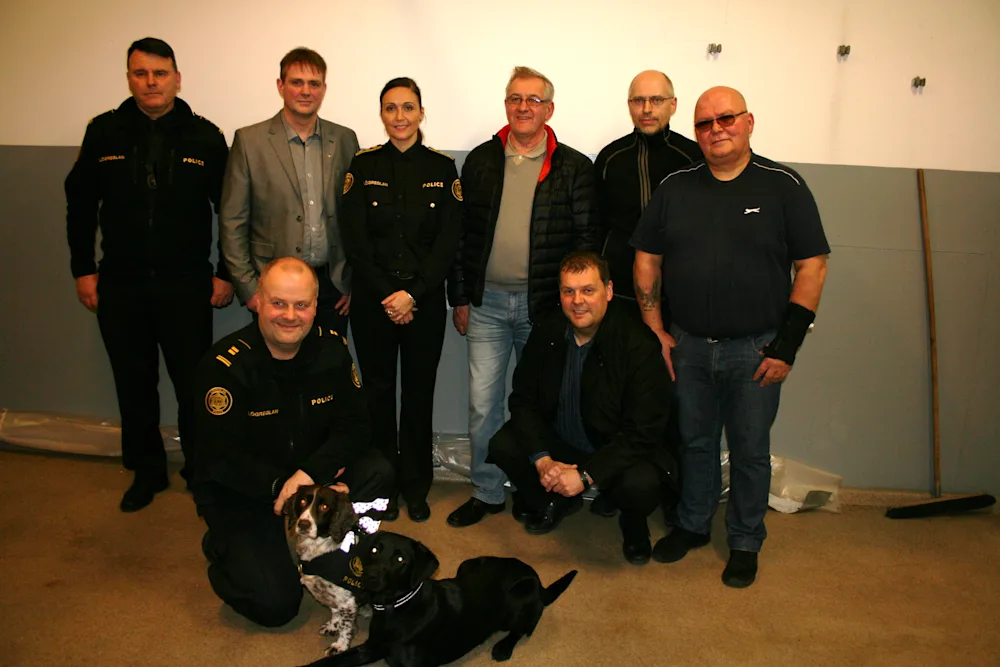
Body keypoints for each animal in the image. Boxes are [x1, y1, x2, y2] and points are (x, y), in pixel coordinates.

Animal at [286, 485, 375, 656]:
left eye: (324, 507)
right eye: (302, 501)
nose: (303, 524)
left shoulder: (348, 601)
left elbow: (345, 627)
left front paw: (340, 646)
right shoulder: (330, 594)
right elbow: (335, 611)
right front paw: (333, 626)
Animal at [298, 531, 577, 667]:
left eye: (400, 559)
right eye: (375, 549)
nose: (371, 577)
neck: (395, 608)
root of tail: (539, 582)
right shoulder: (370, 648)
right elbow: (327, 663)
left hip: (521, 593)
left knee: (524, 628)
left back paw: (503, 647)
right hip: (468, 564)